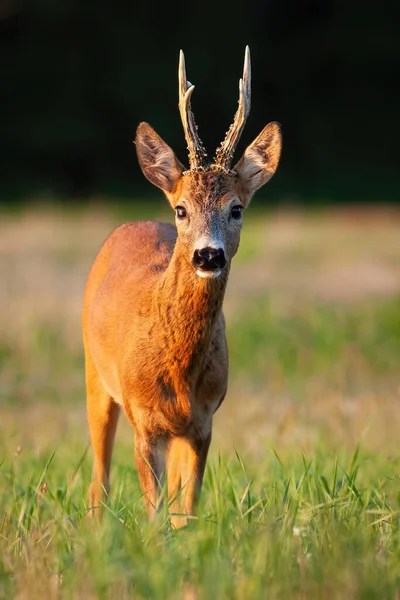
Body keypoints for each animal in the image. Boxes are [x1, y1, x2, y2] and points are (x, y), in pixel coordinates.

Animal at [82, 47, 282, 528]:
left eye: (236, 208)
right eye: (181, 209)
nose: (208, 255)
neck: (176, 368)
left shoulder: (203, 420)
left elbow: (184, 511)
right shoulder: (143, 420)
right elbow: (155, 514)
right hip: (95, 375)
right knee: (99, 479)